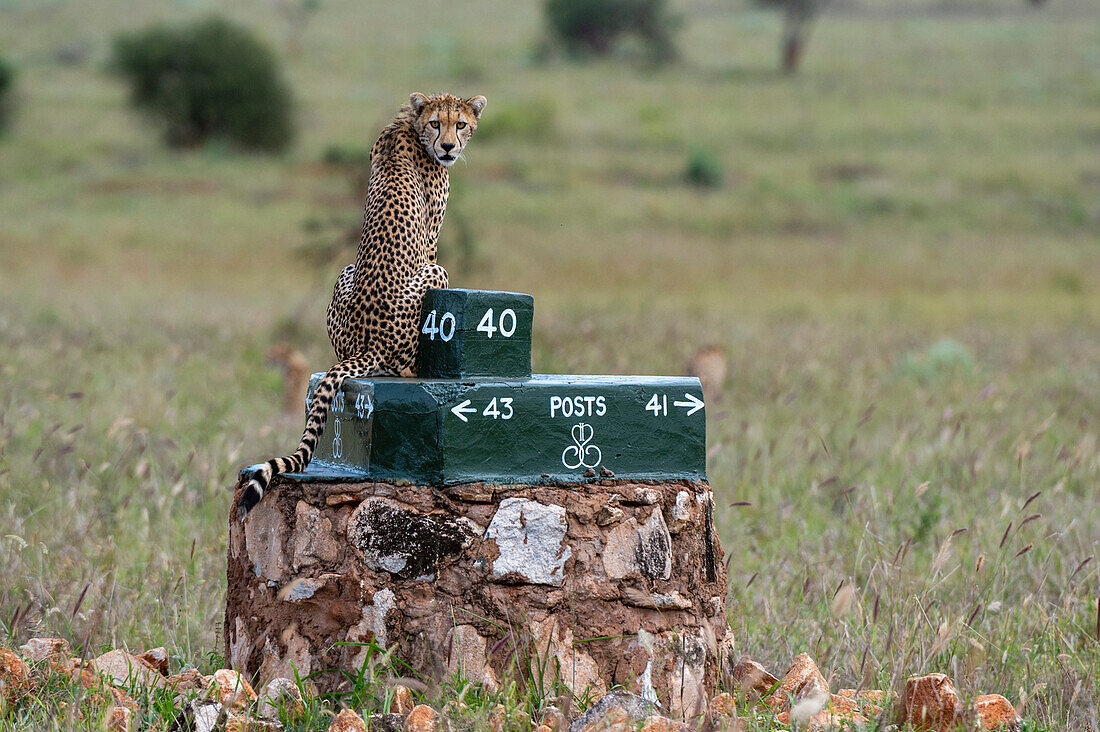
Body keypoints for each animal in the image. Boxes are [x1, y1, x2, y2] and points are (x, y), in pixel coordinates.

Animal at [240, 89, 486, 512]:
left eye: (461, 124)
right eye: (437, 124)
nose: (449, 148)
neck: (411, 125)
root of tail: (365, 344)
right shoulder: (431, 244)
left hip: (344, 271)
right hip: (433, 277)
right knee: (402, 367)